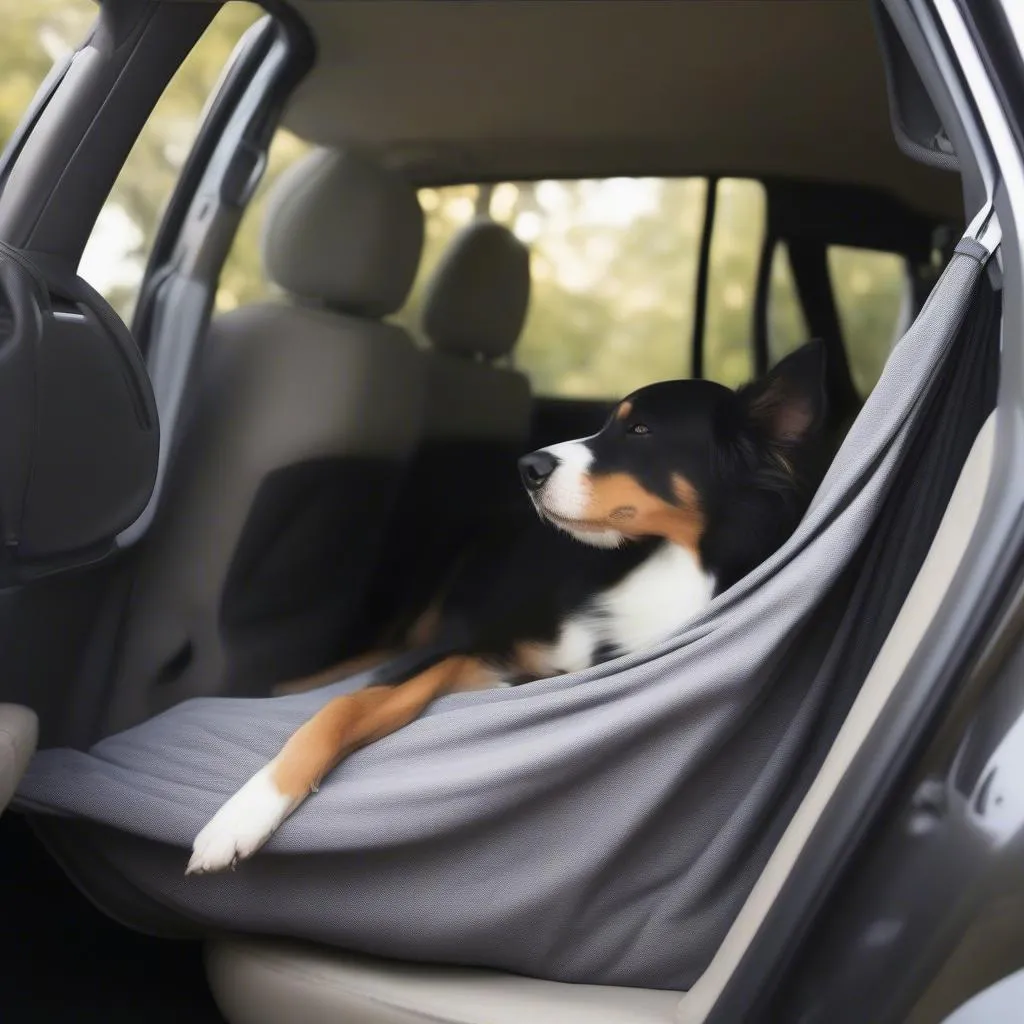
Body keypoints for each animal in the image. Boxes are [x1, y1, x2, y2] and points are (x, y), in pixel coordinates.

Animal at [186, 339, 831, 876]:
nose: (527, 468)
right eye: (605, 423)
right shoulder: (485, 651)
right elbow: (346, 706)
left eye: (642, 429)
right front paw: (243, 813)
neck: (666, 567)